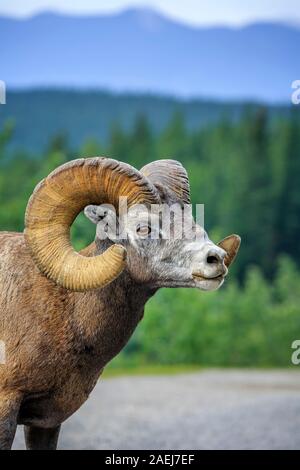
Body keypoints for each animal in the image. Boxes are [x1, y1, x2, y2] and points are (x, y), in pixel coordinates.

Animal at [0, 157, 239, 448]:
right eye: (143, 227)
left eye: (190, 218)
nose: (215, 259)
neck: (66, 310)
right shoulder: (7, 406)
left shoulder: (46, 423)